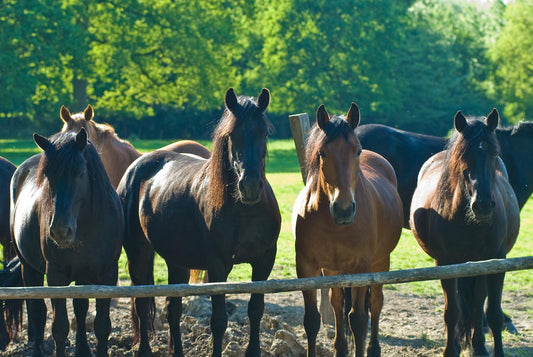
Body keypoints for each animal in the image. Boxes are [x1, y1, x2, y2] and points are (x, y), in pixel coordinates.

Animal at [10, 129, 123, 356]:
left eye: (79, 172)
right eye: (48, 175)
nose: (61, 231)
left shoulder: (107, 275)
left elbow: (102, 325)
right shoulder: (56, 277)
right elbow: (59, 327)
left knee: (79, 309)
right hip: (29, 268)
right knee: (38, 312)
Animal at [118, 87, 280, 356]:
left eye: (265, 133)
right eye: (231, 135)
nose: (250, 186)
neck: (246, 211)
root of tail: (136, 166)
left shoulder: (264, 261)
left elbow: (256, 311)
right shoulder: (217, 267)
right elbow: (219, 321)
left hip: (177, 262)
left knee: (173, 311)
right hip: (138, 254)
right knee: (142, 306)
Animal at [294, 103, 402, 356]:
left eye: (357, 151)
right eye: (322, 153)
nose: (343, 209)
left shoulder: (361, 267)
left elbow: (359, 320)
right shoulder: (306, 268)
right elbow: (312, 320)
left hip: (380, 262)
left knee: (375, 303)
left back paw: (373, 349)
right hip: (334, 270)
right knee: (337, 304)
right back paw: (341, 348)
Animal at [410, 109, 516, 356]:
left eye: (494, 154)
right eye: (463, 156)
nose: (483, 205)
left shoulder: (496, 262)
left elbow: (493, 314)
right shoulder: (446, 263)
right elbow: (452, 312)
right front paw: (451, 349)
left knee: (477, 306)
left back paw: (479, 347)